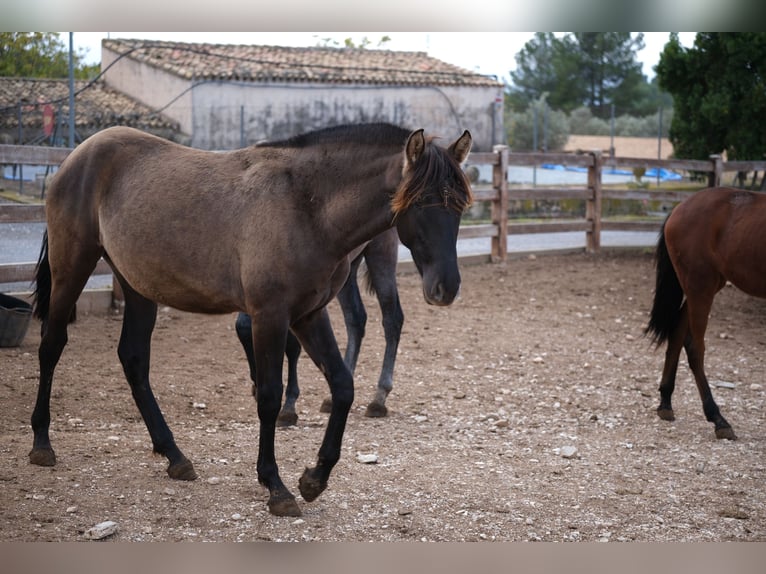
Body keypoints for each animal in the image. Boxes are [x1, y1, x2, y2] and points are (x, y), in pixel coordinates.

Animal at [232, 227, 402, 430]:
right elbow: (243, 328)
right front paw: (258, 385)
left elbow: (293, 346)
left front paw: (288, 407)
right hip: (348, 269)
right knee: (356, 319)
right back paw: (333, 397)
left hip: (381, 251)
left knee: (392, 319)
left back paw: (379, 398)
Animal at [648, 188, 766, 440]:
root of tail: (680, 208)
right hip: (701, 285)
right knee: (694, 348)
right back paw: (718, 418)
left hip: (704, 286)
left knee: (677, 333)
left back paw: (666, 402)